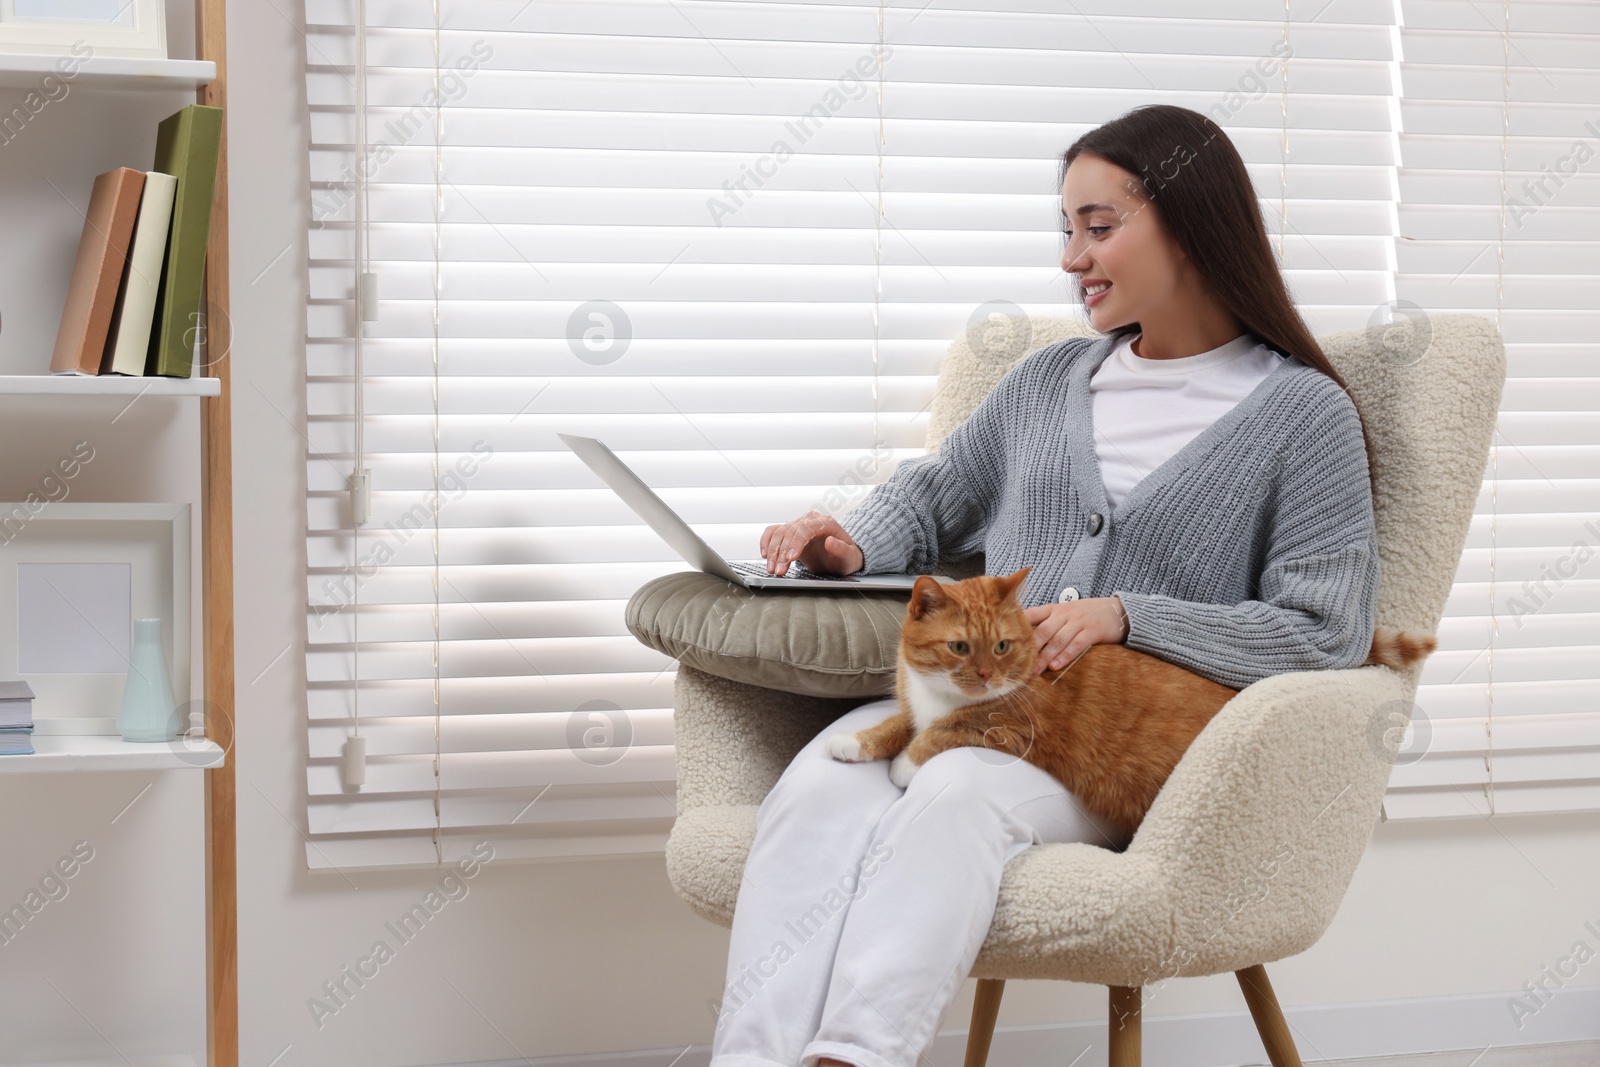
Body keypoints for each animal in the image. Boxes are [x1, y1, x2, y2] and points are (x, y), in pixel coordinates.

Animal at [825, 572, 1440, 838]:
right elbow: (898, 722)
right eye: (959, 647)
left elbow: (944, 731)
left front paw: (904, 766)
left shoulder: (1010, 729)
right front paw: (855, 742)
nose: (986, 675)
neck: (944, 691)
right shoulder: (916, 705)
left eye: (1001, 647)